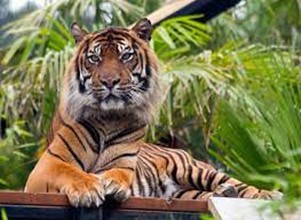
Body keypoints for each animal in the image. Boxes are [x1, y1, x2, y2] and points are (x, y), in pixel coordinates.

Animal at [24, 18, 280, 207]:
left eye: (126, 56)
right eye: (94, 58)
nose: (109, 82)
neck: (109, 117)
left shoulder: (124, 164)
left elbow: (117, 174)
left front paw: (110, 184)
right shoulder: (47, 165)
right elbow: (72, 172)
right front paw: (87, 188)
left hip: (192, 170)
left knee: (238, 183)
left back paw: (266, 194)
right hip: (183, 193)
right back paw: (225, 193)